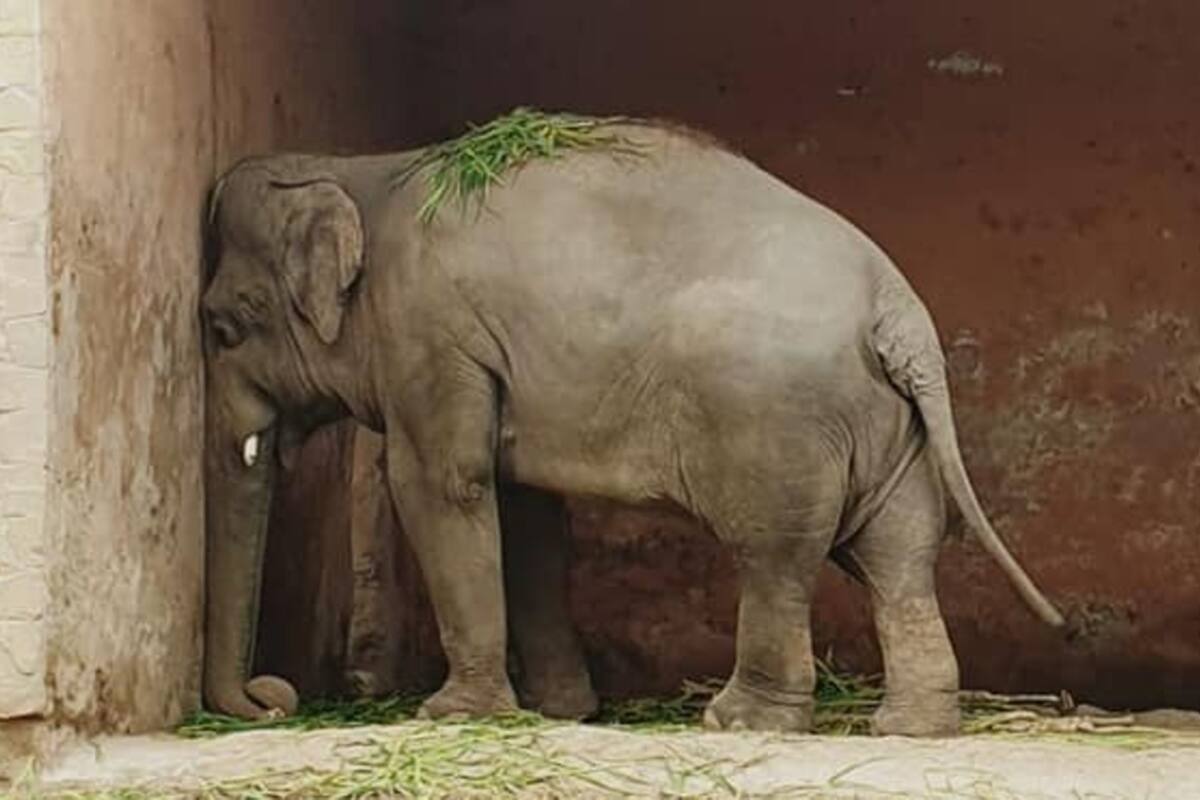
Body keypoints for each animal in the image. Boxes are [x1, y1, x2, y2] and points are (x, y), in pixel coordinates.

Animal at [201, 119, 1064, 737]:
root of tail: (896, 304)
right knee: (900, 554)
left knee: (776, 556)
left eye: (223, 325)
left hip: (778, 419)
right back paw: (909, 728)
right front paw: (560, 712)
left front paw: (452, 714)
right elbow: (526, 514)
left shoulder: (430, 331)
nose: (272, 695)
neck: (357, 169)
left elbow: (442, 486)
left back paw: (740, 722)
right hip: (887, 425)